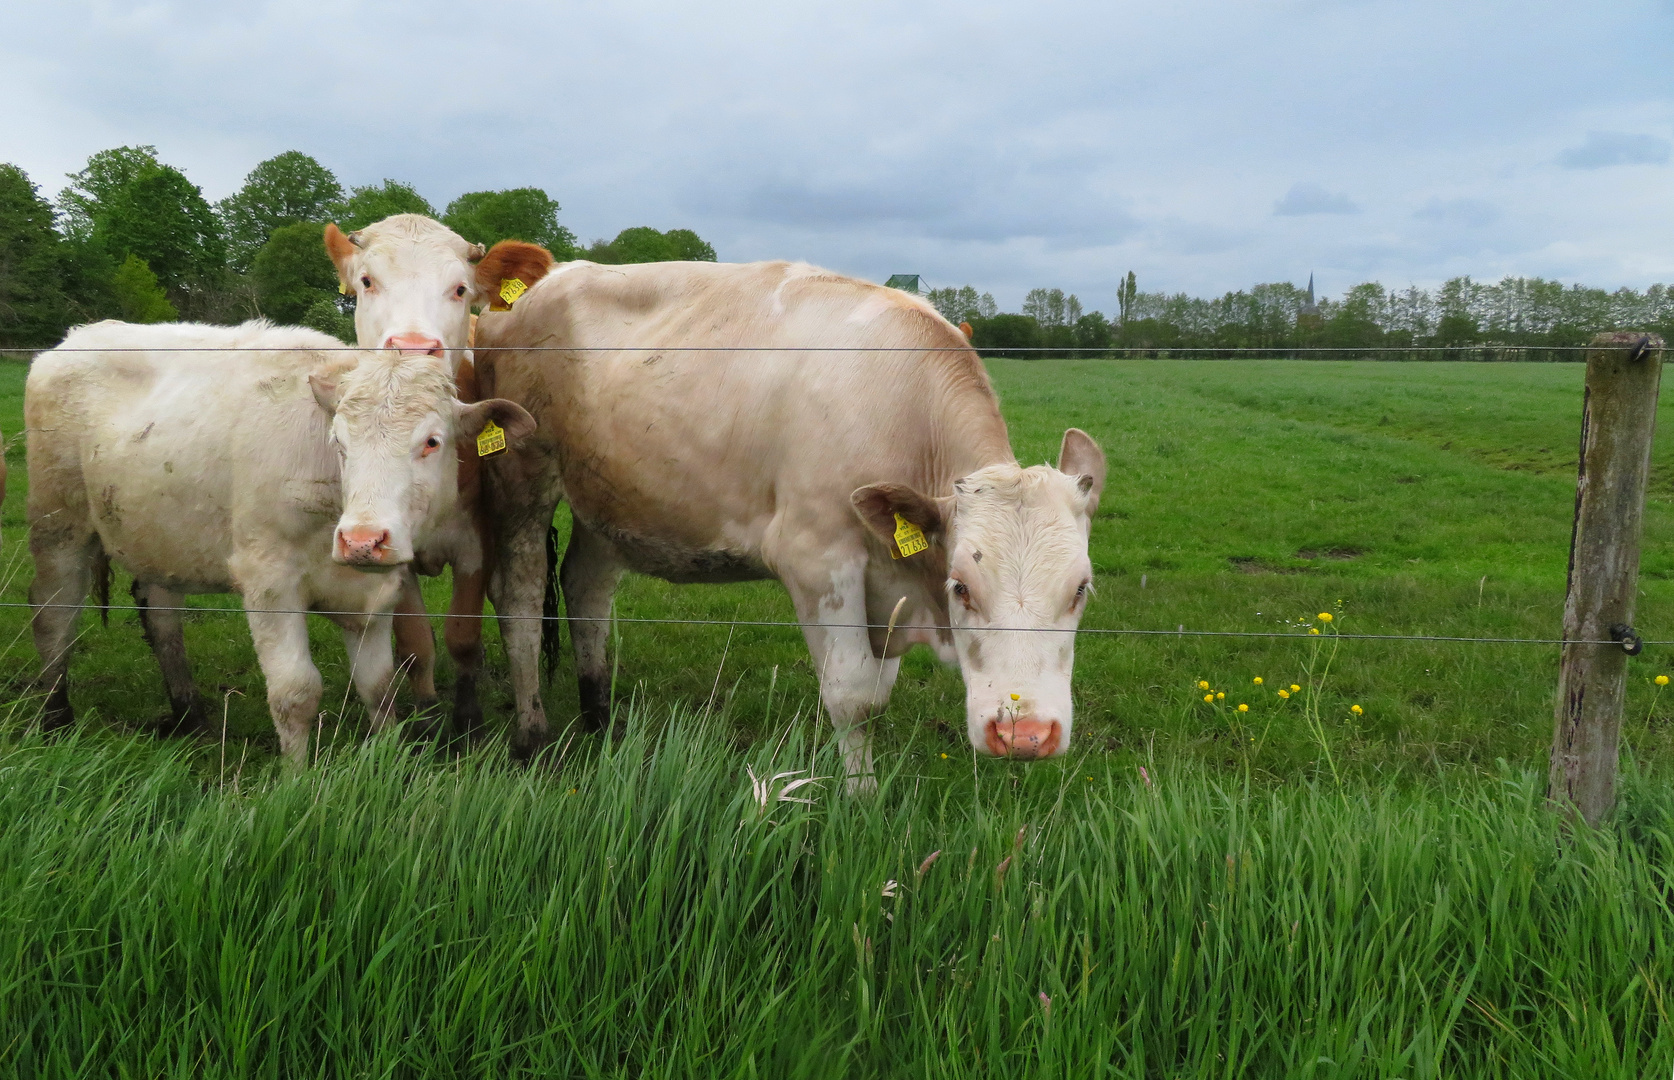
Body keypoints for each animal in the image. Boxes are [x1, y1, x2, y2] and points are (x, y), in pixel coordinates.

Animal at [27, 316, 535, 763]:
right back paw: (55, 720)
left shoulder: (373, 595)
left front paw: (386, 761)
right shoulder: (268, 582)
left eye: (431, 441)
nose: (362, 540)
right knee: (54, 616)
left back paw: (191, 717)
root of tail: (79, 335)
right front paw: (297, 779)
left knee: (162, 619)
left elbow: (379, 686)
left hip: (159, 537)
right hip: (59, 527)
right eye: (339, 442)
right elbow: (295, 692)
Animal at [326, 214, 555, 730]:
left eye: (459, 288)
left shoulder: (477, 540)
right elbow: (416, 642)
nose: (412, 349)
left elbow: (463, 636)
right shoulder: (396, 550)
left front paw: (467, 718)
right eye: (366, 281)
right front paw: (427, 711)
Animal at [465, 261, 1104, 783]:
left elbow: (878, 691)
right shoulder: (817, 558)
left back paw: (600, 719)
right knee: (520, 596)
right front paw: (862, 805)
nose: (1025, 734)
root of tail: (541, 284)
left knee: (586, 590)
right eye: (962, 587)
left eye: (1080, 589)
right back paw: (532, 735)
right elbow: (854, 698)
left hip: (608, 496)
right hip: (523, 475)